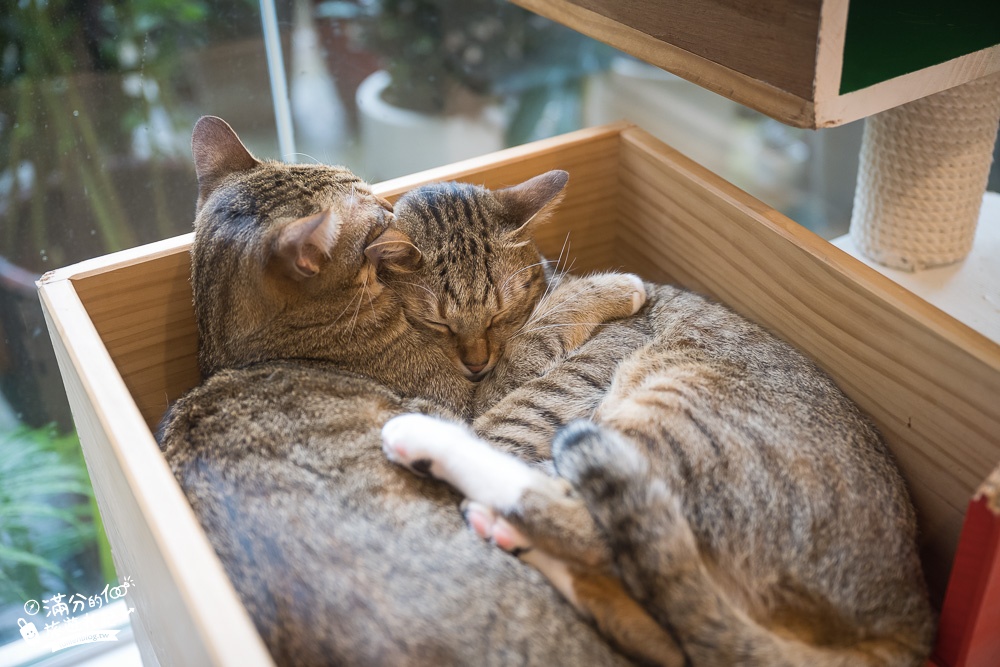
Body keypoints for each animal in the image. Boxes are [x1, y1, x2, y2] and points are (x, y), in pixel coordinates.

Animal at [154, 117, 648, 664]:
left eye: (363, 186)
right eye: (370, 210)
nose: (390, 209)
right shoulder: (472, 399)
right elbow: (541, 332)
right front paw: (609, 287)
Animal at [378, 215, 932, 664]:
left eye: (492, 315)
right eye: (439, 321)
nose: (473, 359)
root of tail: (908, 612)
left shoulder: (549, 387)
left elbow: (504, 409)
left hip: (675, 423)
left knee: (585, 524)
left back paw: (430, 444)